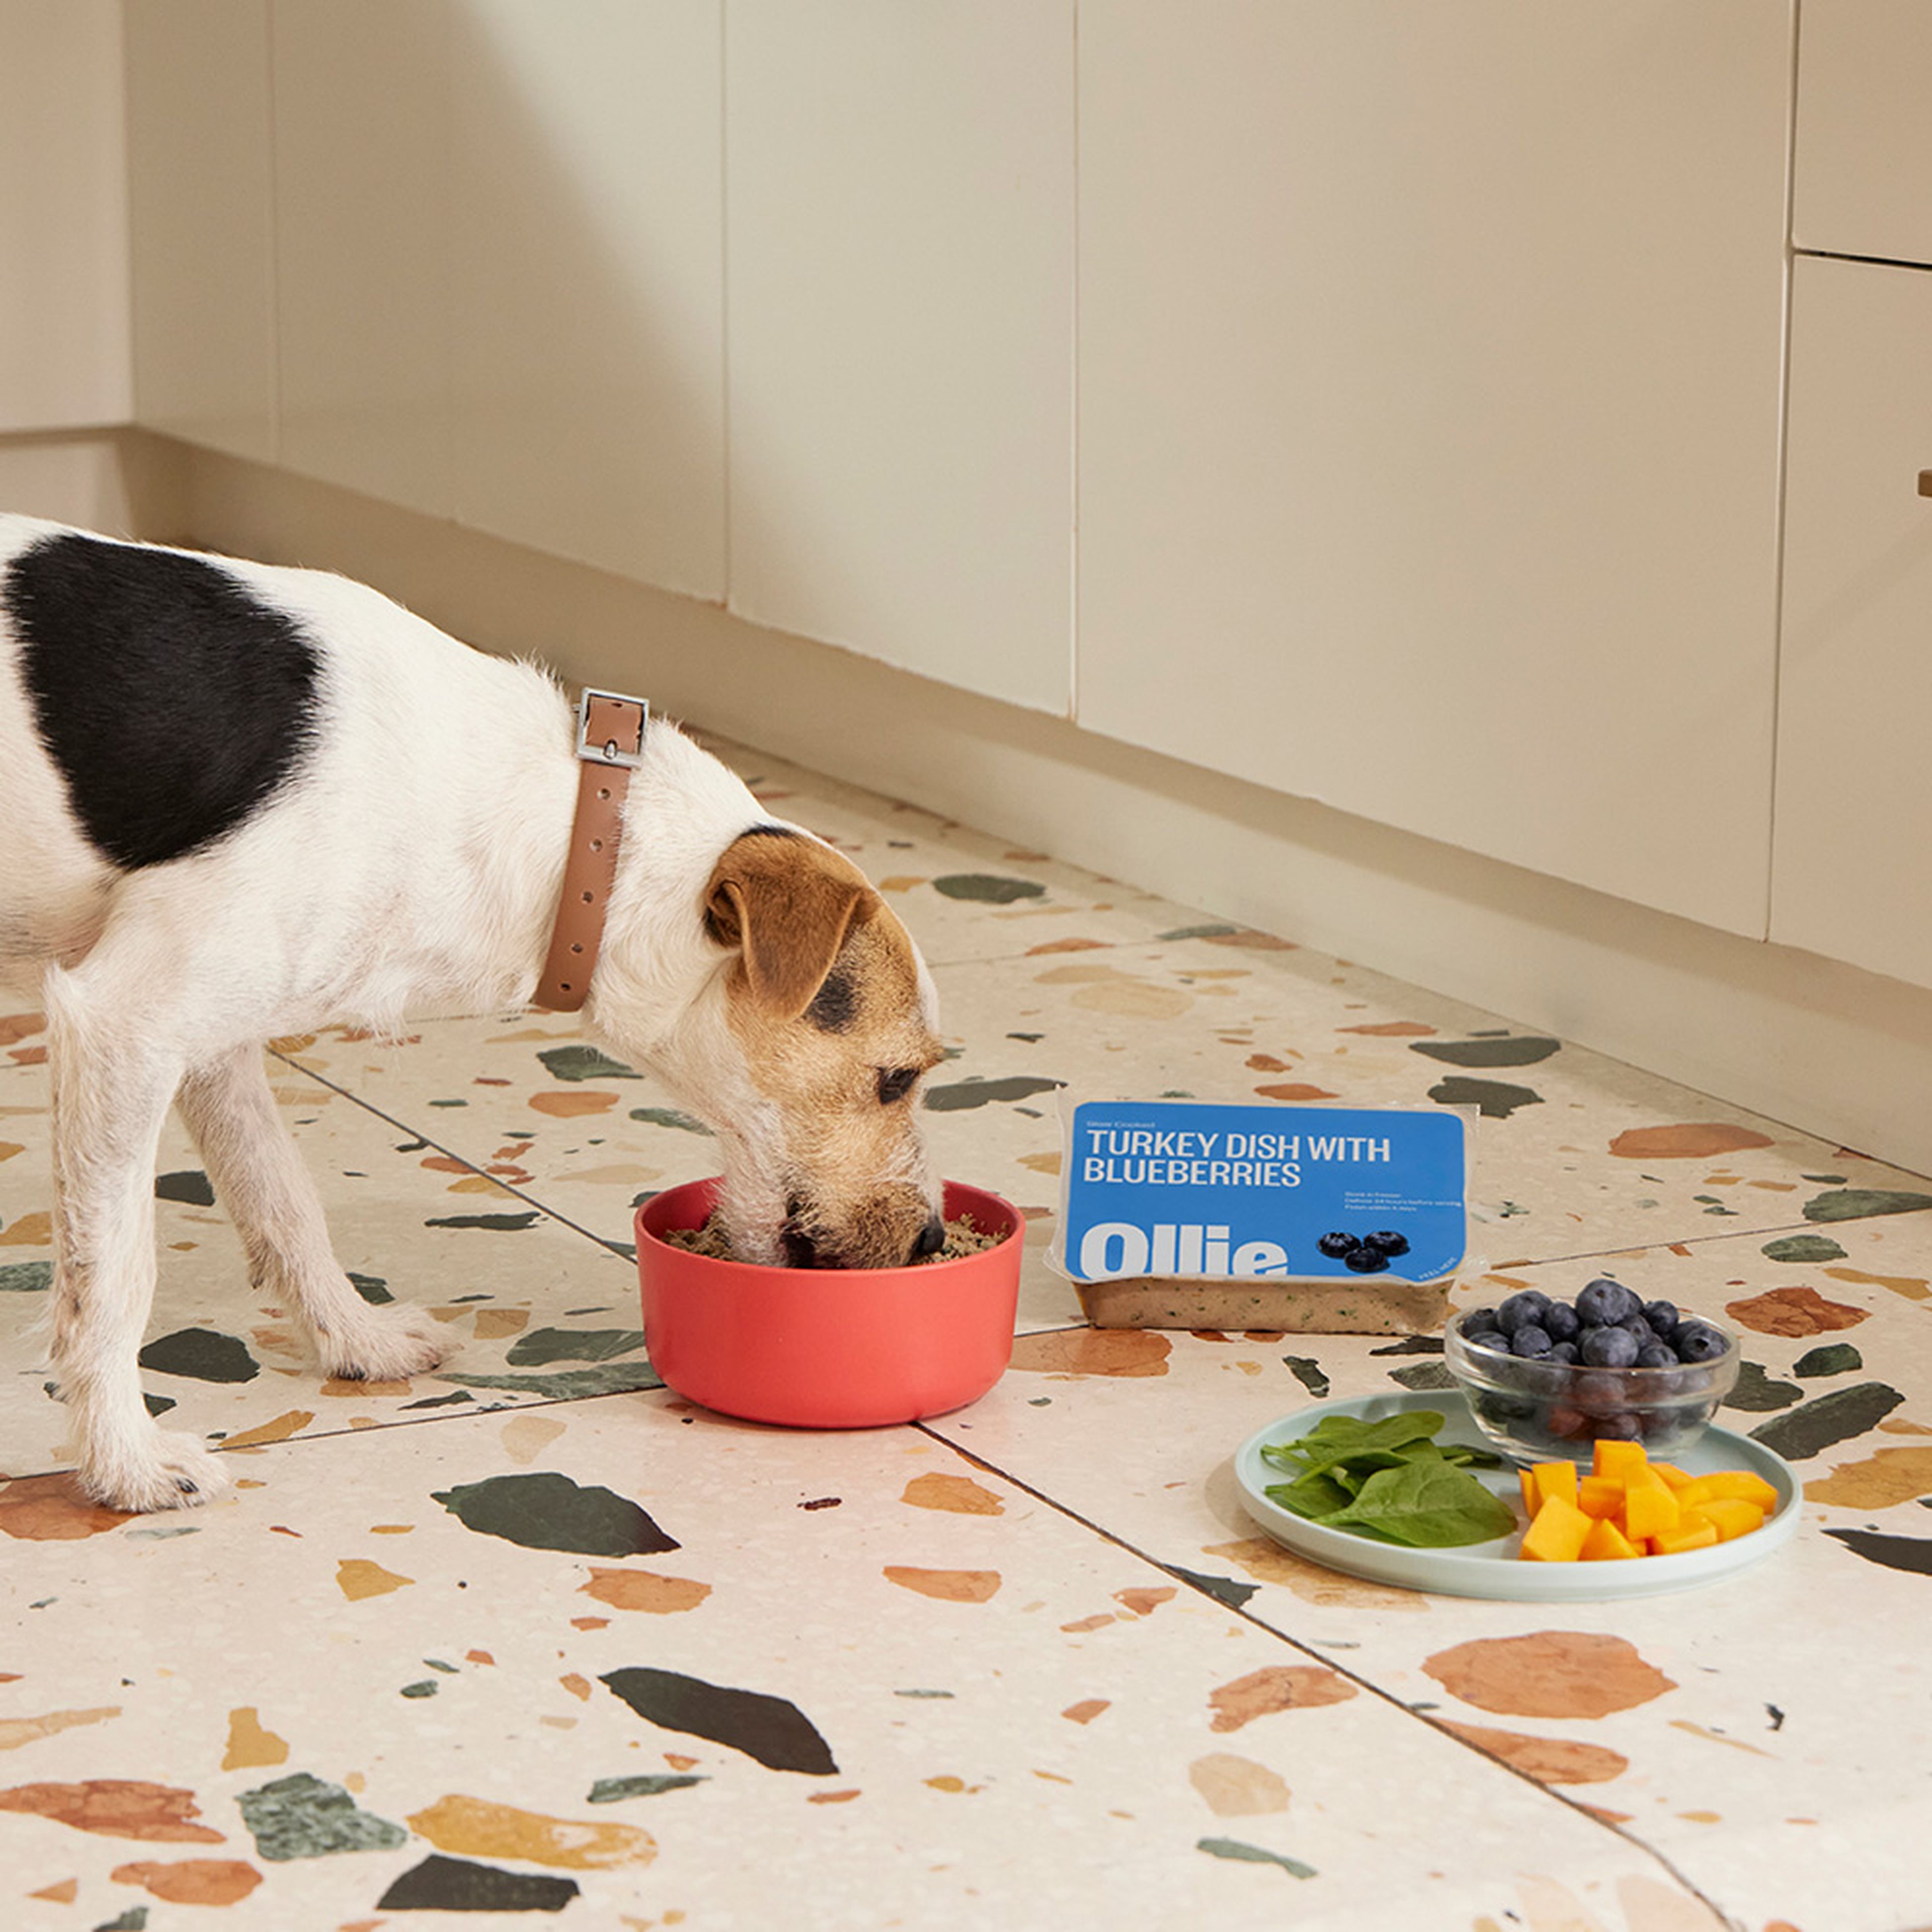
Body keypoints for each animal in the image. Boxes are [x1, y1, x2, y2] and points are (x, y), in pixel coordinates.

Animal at [0, 514, 950, 1507]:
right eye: (896, 1079)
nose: (930, 1238)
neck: (571, 833)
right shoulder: (122, 1026)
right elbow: (114, 1276)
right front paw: (126, 1460)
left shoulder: (214, 1045)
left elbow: (283, 1198)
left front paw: (356, 1341)